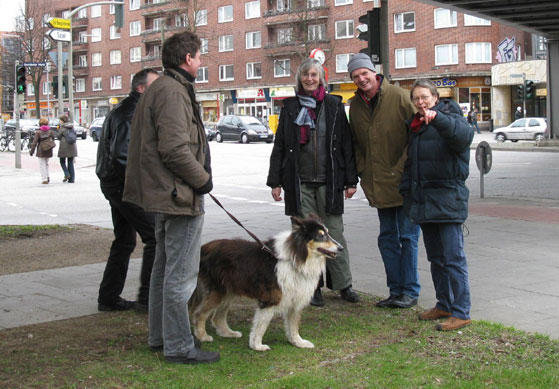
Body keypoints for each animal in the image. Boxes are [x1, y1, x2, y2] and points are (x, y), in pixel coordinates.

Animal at [190, 217, 344, 350]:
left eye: (328, 234)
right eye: (320, 236)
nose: (341, 248)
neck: (295, 258)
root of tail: (202, 248)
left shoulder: (295, 300)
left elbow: (293, 326)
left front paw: (298, 342)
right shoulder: (270, 299)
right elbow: (261, 326)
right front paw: (257, 346)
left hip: (228, 292)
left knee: (217, 317)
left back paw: (228, 333)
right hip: (216, 293)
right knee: (199, 314)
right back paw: (203, 336)